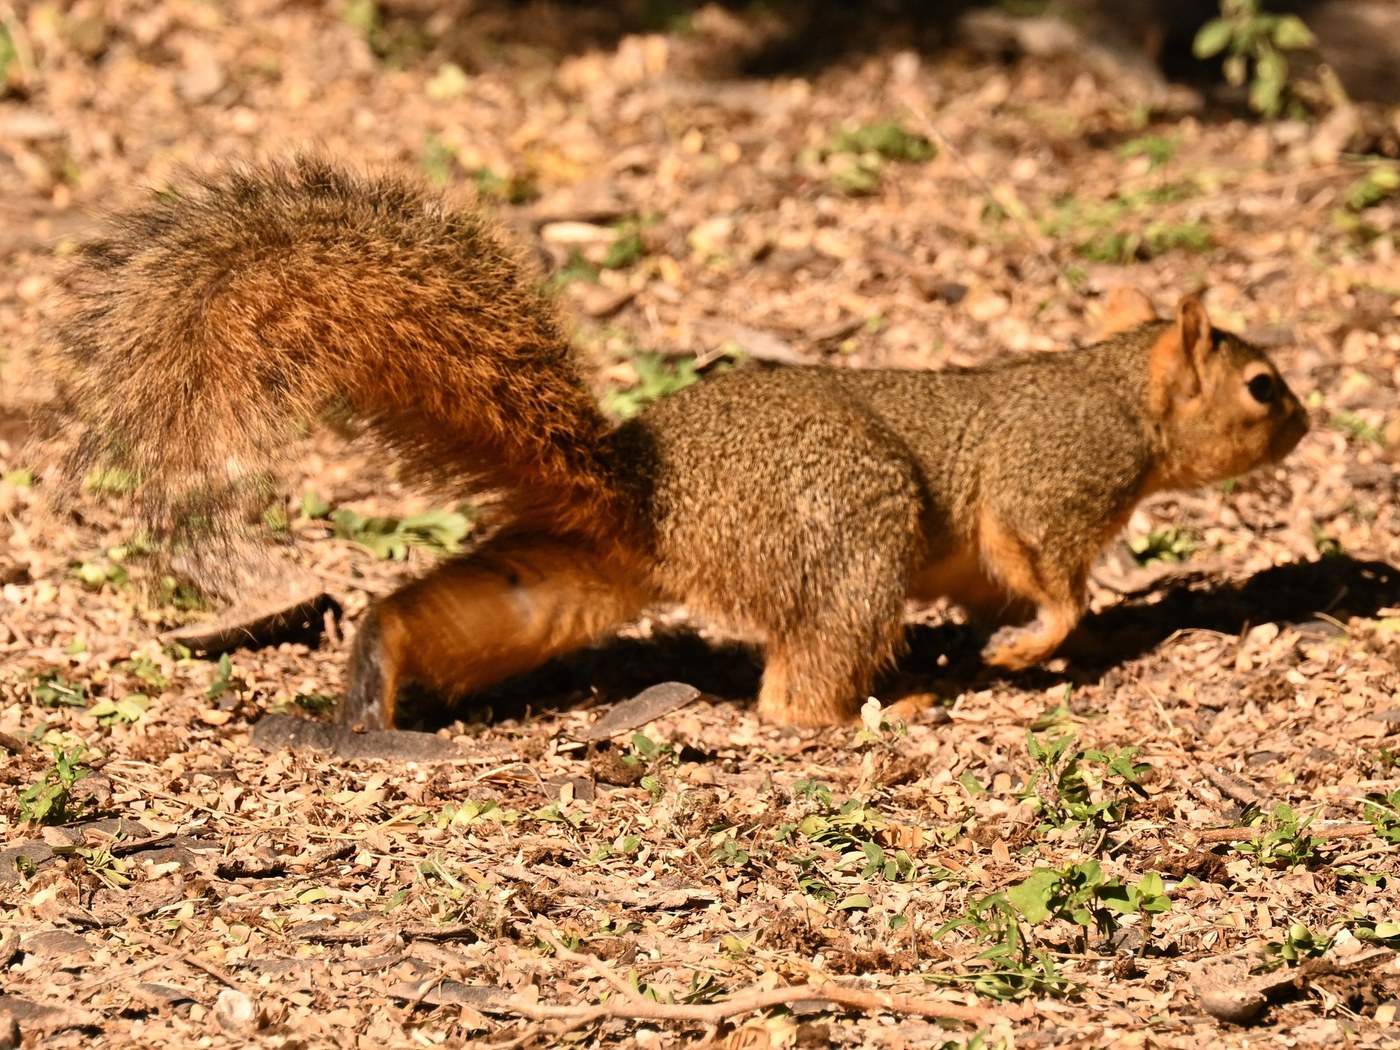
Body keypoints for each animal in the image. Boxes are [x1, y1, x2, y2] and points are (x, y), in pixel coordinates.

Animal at [49, 156, 1310, 729]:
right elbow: (1049, 579)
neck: (1122, 397)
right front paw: (1028, 649)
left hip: (569, 576)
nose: (1302, 424)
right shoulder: (1054, 480)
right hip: (854, 528)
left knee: (475, 611)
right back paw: (879, 714)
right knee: (790, 698)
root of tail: (644, 494)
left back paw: (378, 675)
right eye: (1259, 386)